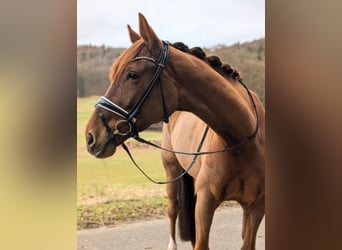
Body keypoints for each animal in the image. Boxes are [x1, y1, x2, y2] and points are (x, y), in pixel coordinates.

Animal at [85, 13, 264, 250]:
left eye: (133, 75)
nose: (90, 136)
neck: (241, 140)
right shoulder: (205, 203)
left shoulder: (255, 208)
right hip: (171, 173)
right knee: (173, 210)